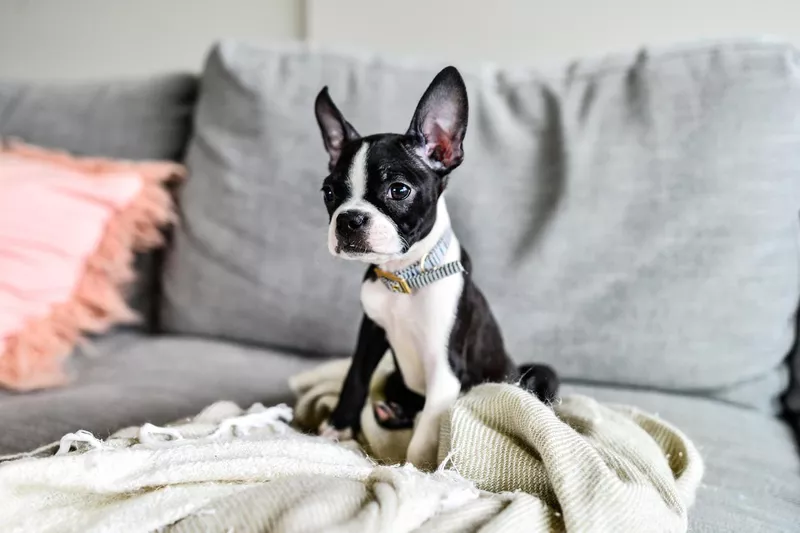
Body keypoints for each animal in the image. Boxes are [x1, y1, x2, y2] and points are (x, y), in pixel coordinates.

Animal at [312, 65, 556, 466]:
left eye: (399, 190)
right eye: (329, 193)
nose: (350, 219)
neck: (404, 275)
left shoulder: (445, 368)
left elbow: (426, 428)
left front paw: (415, 468)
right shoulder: (371, 334)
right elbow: (355, 379)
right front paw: (338, 427)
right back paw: (391, 411)